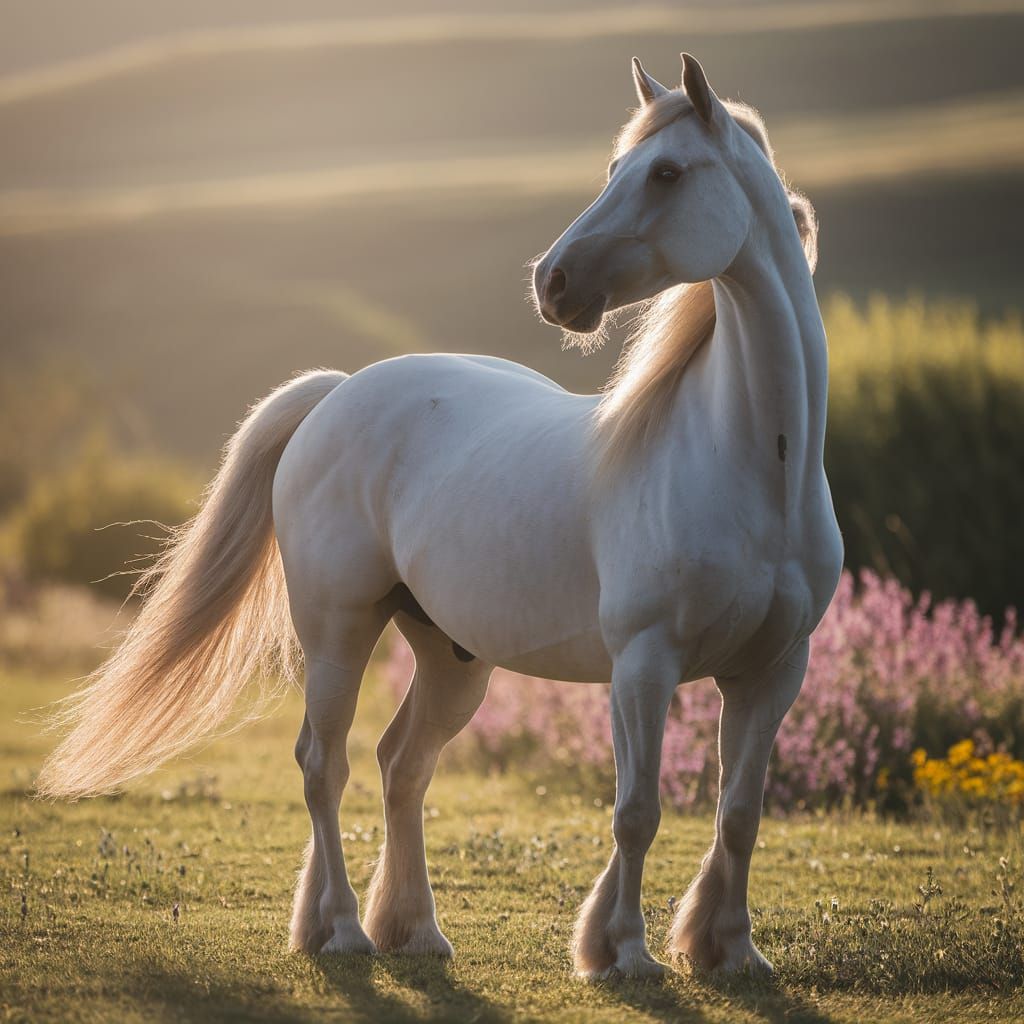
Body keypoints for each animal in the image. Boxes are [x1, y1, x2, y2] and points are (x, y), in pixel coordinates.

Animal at [38, 53, 843, 979]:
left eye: (668, 173)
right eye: (617, 167)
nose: (553, 283)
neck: (748, 463)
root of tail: (336, 393)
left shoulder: (773, 672)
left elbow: (740, 814)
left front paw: (732, 951)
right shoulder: (645, 664)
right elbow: (636, 811)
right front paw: (626, 954)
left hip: (453, 659)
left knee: (403, 766)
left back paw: (412, 930)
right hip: (339, 632)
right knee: (324, 766)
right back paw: (344, 930)